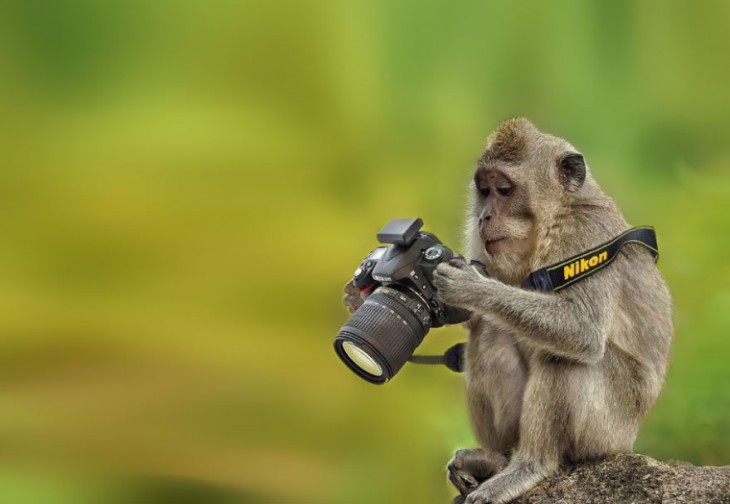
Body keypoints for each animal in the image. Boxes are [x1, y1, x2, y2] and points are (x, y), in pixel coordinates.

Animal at [430, 116, 672, 502]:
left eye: (504, 190)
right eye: (484, 190)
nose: (484, 217)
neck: (556, 215)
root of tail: (628, 443)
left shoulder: (585, 235)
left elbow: (581, 330)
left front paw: (472, 288)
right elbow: (477, 322)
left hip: (608, 430)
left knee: (562, 357)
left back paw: (532, 465)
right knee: (491, 332)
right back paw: (496, 459)